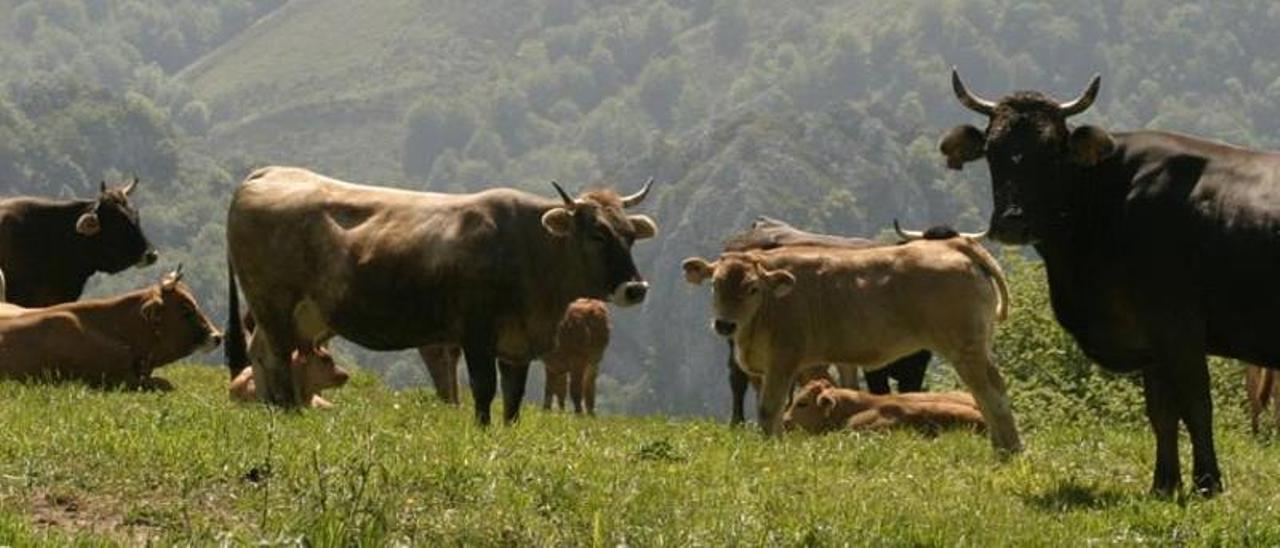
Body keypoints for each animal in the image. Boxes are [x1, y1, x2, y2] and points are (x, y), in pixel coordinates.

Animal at [224, 166, 655, 425]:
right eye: (597, 235)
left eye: (630, 235)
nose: (635, 288)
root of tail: (269, 172)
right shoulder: (476, 334)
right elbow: (484, 389)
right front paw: (482, 433)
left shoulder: (517, 344)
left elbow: (513, 399)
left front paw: (508, 432)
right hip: (273, 302)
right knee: (277, 356)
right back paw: (285, 410)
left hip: (302, 314)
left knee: (262, 352)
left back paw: (274, 407)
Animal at [942, 68, 1280, 496]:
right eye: (993, 151)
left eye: (1053, 152)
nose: (1012, 221)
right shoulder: (1151, 337)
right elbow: (1162, 413)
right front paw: (1164, 486)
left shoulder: (1178, 326)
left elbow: (1197, 406)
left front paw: (1208, 485)